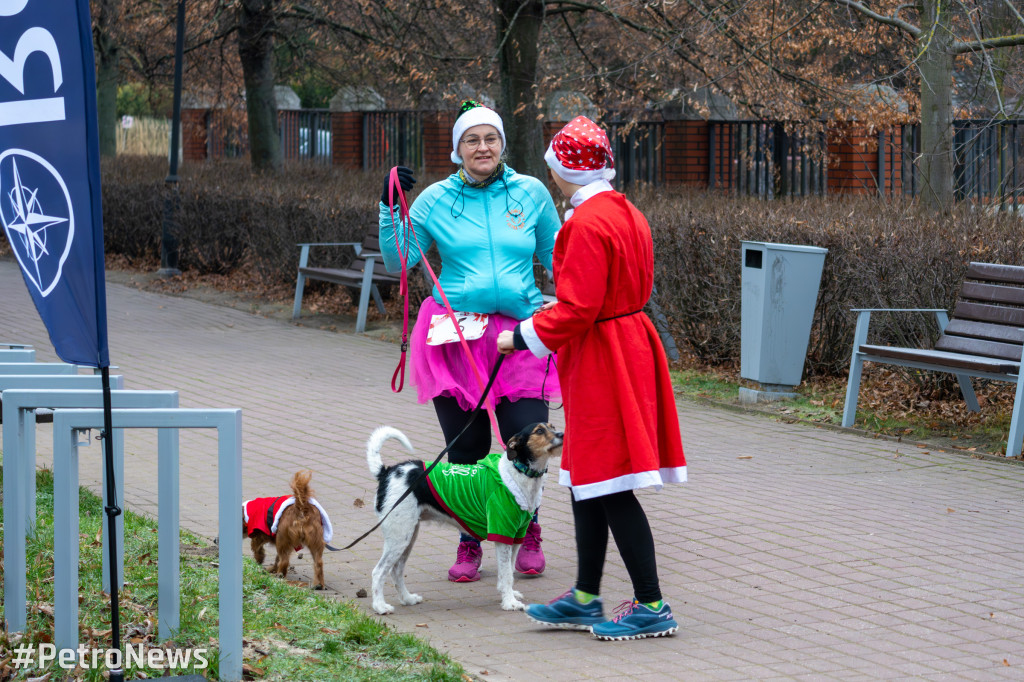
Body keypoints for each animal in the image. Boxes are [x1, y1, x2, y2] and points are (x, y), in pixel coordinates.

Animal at [366, 421, 565, 614]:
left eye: (553, 427)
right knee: (378, 571)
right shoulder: (502, 533)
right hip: (399, 537)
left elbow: (507, 571)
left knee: (396, 571)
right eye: (539, 431)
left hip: (408, 536)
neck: (520, 472)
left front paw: (508, 594)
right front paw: (510, 603)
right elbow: (507, 574)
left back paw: (407, 599)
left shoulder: (516, 536)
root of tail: (387, 472)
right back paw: (380, 607)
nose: (562, 434)